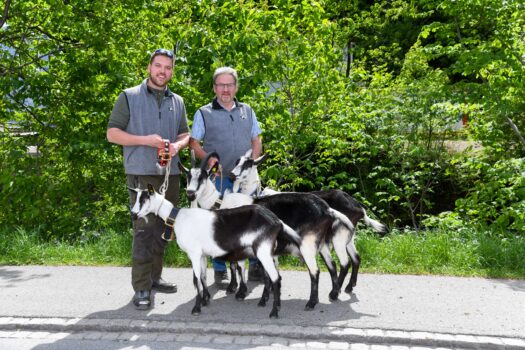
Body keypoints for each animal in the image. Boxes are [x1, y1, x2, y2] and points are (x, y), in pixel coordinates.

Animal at [128, 185, 300, 318]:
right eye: (136, 198)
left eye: (143, 200)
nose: (133, 214)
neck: (178, 218)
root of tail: (277, 221)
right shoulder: (202, 254)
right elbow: (203, 276)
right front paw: (206, 300)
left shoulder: (194, 253)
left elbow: (196, 279)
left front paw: (196, 308)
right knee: (271, 276)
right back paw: (265, 303)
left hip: (262, 250)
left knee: (276, 278)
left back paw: (274, 312)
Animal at [179, 153, 356, 308]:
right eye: (188, 176)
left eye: (202, 177)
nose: (190, 194)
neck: (220, 203)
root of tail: (327, 209)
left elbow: (239, 265)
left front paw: (241, 292)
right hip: (322, 244)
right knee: (333, 265)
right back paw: (334, 293)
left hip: (310, 245)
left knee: (320, 269)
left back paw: (313, 302)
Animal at [227, 150, 386, 292]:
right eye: (236, 162)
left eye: (247, 164)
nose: (232, 175)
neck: (253, 199)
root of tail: (359, 207)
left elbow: (237, 263)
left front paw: (235, 288)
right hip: (348, 237)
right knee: (356, 258)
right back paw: (348, 287)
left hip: (338, 237)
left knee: (345, 262)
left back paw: (337, 291)